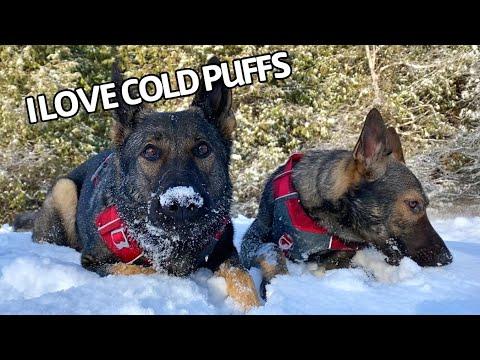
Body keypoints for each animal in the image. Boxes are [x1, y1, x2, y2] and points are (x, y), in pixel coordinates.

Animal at [24, 58, 260, 310]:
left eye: (203, 149)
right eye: (150, 151)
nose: (182, 204)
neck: (174, 240)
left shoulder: (226, 251)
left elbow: (244, 280)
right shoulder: (95, 260)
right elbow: (145, 271)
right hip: (64, 188)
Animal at [240, 109, 454, 296]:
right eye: (413, 204)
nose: (448, 258)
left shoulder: (347, 250)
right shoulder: (250, 239)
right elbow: (272, 250)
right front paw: (277, 279)